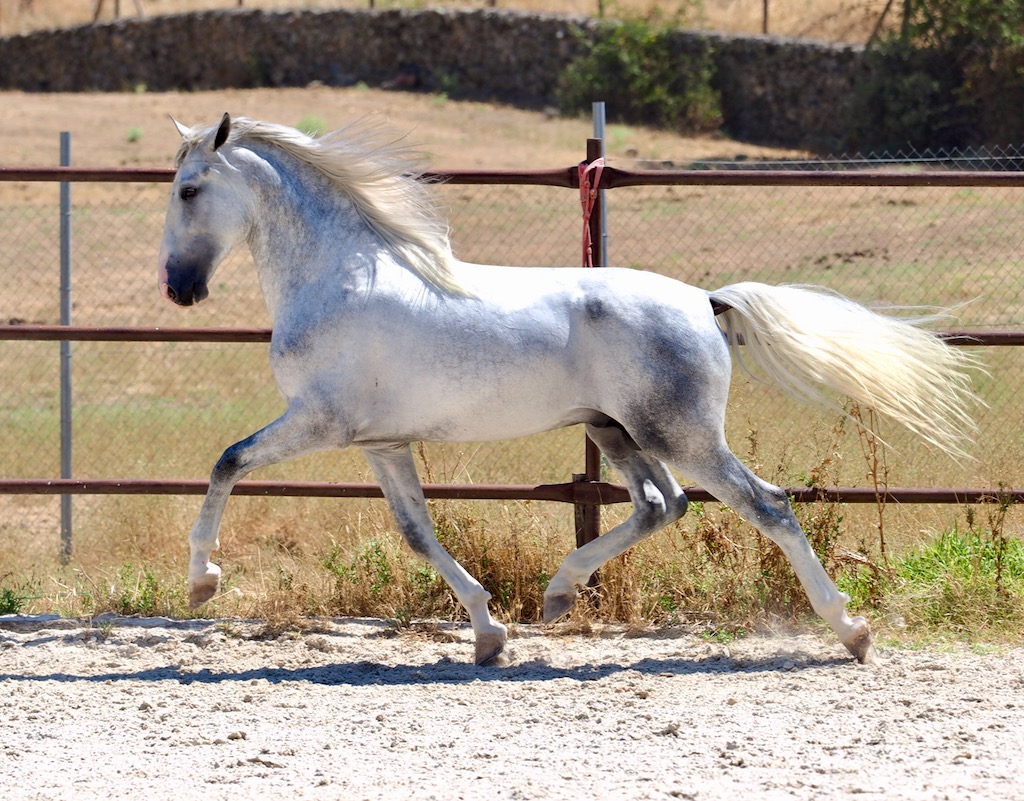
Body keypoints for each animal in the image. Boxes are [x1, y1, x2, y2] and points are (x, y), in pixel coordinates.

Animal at [158, 113, 979, 666]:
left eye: (190, 190)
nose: (177, 288)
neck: (339, 278)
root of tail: (705, 300)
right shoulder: (383, 443)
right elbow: (417, 532)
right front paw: (489, 634)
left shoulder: (319, 422)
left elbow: (227, 461)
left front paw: (202, 583)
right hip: (616, 430)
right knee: (661, 505)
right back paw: (558, 593)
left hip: (680, 434)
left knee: (765, 505)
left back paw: (852, 631)